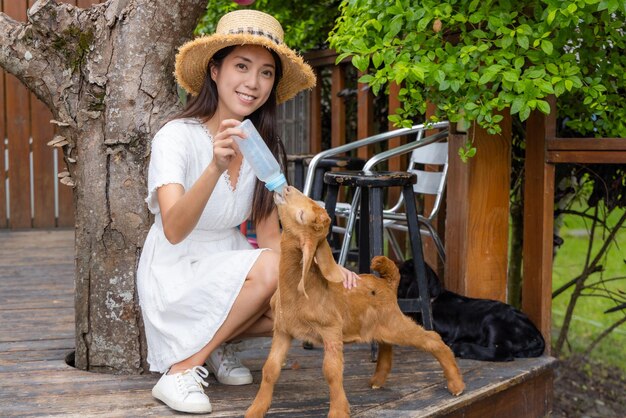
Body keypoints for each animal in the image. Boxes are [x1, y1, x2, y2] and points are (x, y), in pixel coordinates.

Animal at [245, 187, 464, 418]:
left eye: (302, 215)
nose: (286, 189)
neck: (299, 288)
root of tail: (388, 283)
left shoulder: (331, 329)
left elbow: (331, 371)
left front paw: (338, 411)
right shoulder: (283, 331)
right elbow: (270, 368)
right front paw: (255, 410)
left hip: (395, 321)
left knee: (431, 338)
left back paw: (456, 384)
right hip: (382, 324)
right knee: (386, 344)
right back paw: (378, 380)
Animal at [398, 258, 544, 362]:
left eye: (402, 275)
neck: (433, 298)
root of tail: (537, 335)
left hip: (493, 321)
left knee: (501, 352)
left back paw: (462, 348)